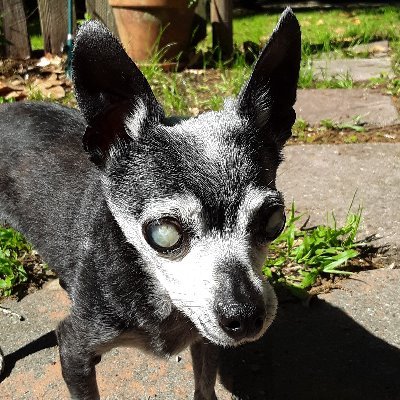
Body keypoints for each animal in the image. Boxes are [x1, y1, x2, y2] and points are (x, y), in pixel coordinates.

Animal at [0, 7, 300, 400]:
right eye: (163, 234)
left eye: (274, 221)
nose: (246, 316)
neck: (161, 297)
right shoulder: (72, 347)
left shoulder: (205, 341)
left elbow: (204, 386)